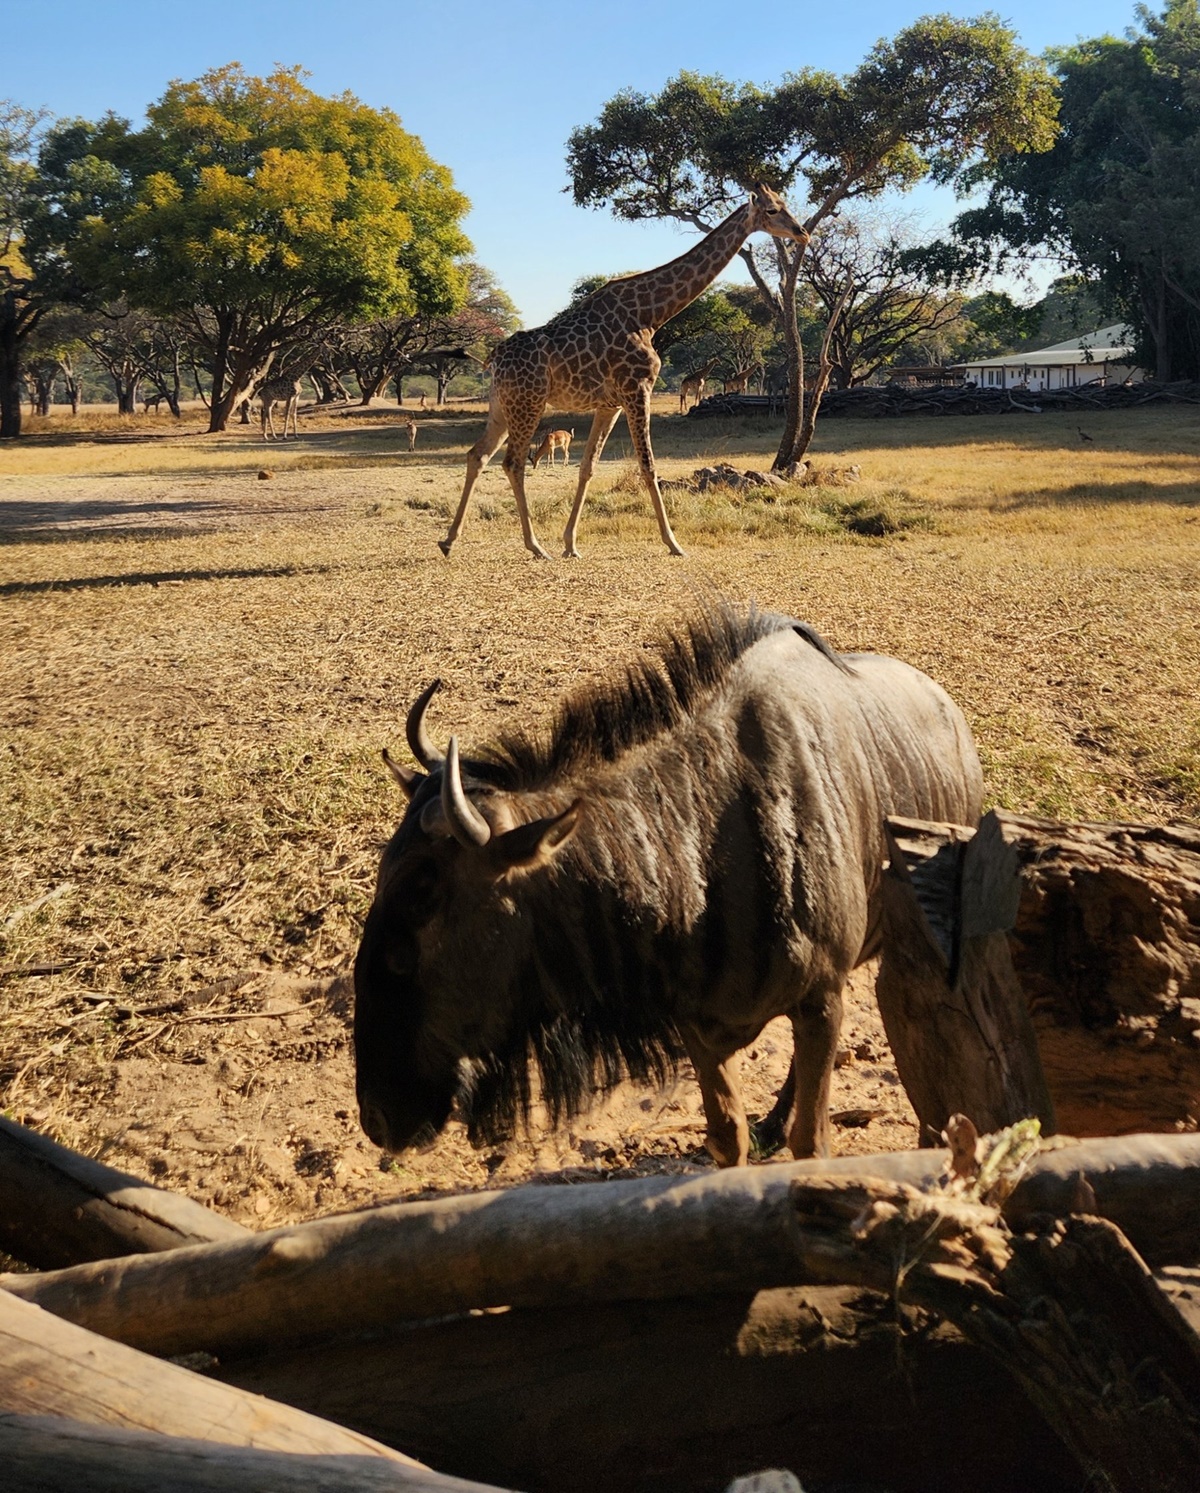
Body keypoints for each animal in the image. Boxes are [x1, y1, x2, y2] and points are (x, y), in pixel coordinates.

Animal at [438, 185, 805, 561]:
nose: (801, 232)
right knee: (512, 463)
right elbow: (649, 466)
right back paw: (535, 546)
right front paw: (673, 543)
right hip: (529, 403)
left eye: (785, 204)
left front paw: (571, 543)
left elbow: (587, 467)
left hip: (502, 405)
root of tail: (493, 358)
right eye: (773, 210)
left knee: (478, 454)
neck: (650, 314)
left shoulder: (609, 404)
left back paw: (449, 540)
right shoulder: (637, 389)